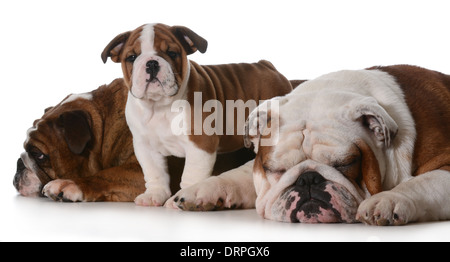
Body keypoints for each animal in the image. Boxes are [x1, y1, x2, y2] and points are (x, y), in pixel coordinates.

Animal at [100, 23, 294, 207]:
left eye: (172, 53)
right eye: (132, 57)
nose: (152, 63)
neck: (159, 106)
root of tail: (266, 65)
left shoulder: (200, 144)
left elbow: (191, 175)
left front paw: (183, 197)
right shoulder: (145, 147)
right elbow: (154, 172)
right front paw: (154, 195)